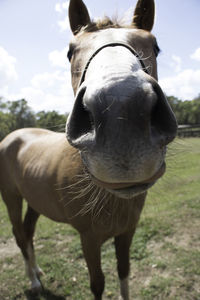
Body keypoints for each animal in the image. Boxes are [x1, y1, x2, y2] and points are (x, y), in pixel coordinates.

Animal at [0, 0, 177, 298]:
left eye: (154, 46)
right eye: (70, 51)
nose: (121, 110)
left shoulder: (127, 232)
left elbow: (124, 271)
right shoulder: (89, 238)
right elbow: (98, 283)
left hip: (34, 201)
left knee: (29, 232)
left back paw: (37, 271)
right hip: (11, 198)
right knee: (20, 236)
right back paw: (33, 281)